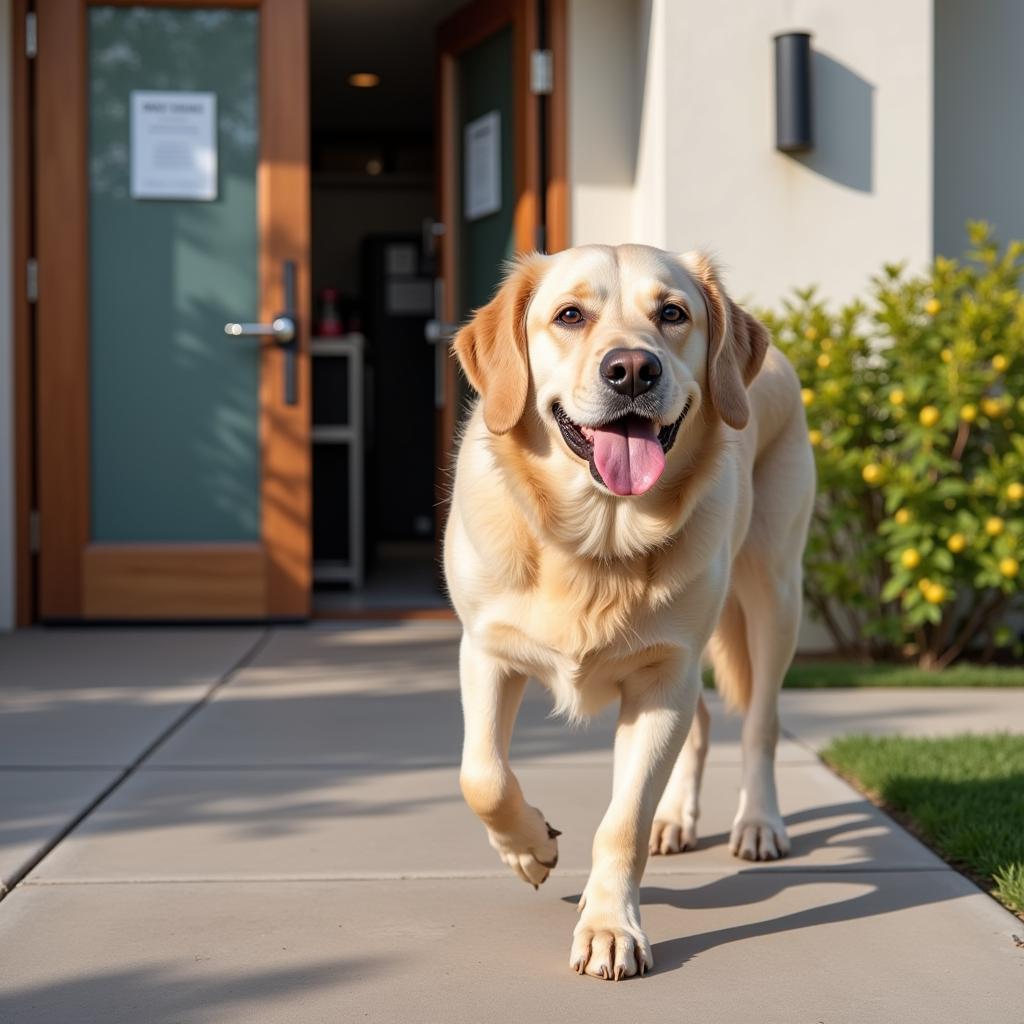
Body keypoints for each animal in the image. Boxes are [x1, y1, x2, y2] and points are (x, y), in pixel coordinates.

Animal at [444, 243, 811, 978]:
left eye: (672, 313)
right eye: (569, 316)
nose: (633, 369)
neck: (597, 539)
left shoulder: (661, 679)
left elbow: (622, 821)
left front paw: (610, 926)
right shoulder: (486, 651)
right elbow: (483, 776)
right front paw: (530, 847)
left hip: (773, 591)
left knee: (760, 722)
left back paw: (759, 822)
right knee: (707, 718)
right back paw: (676, 819)